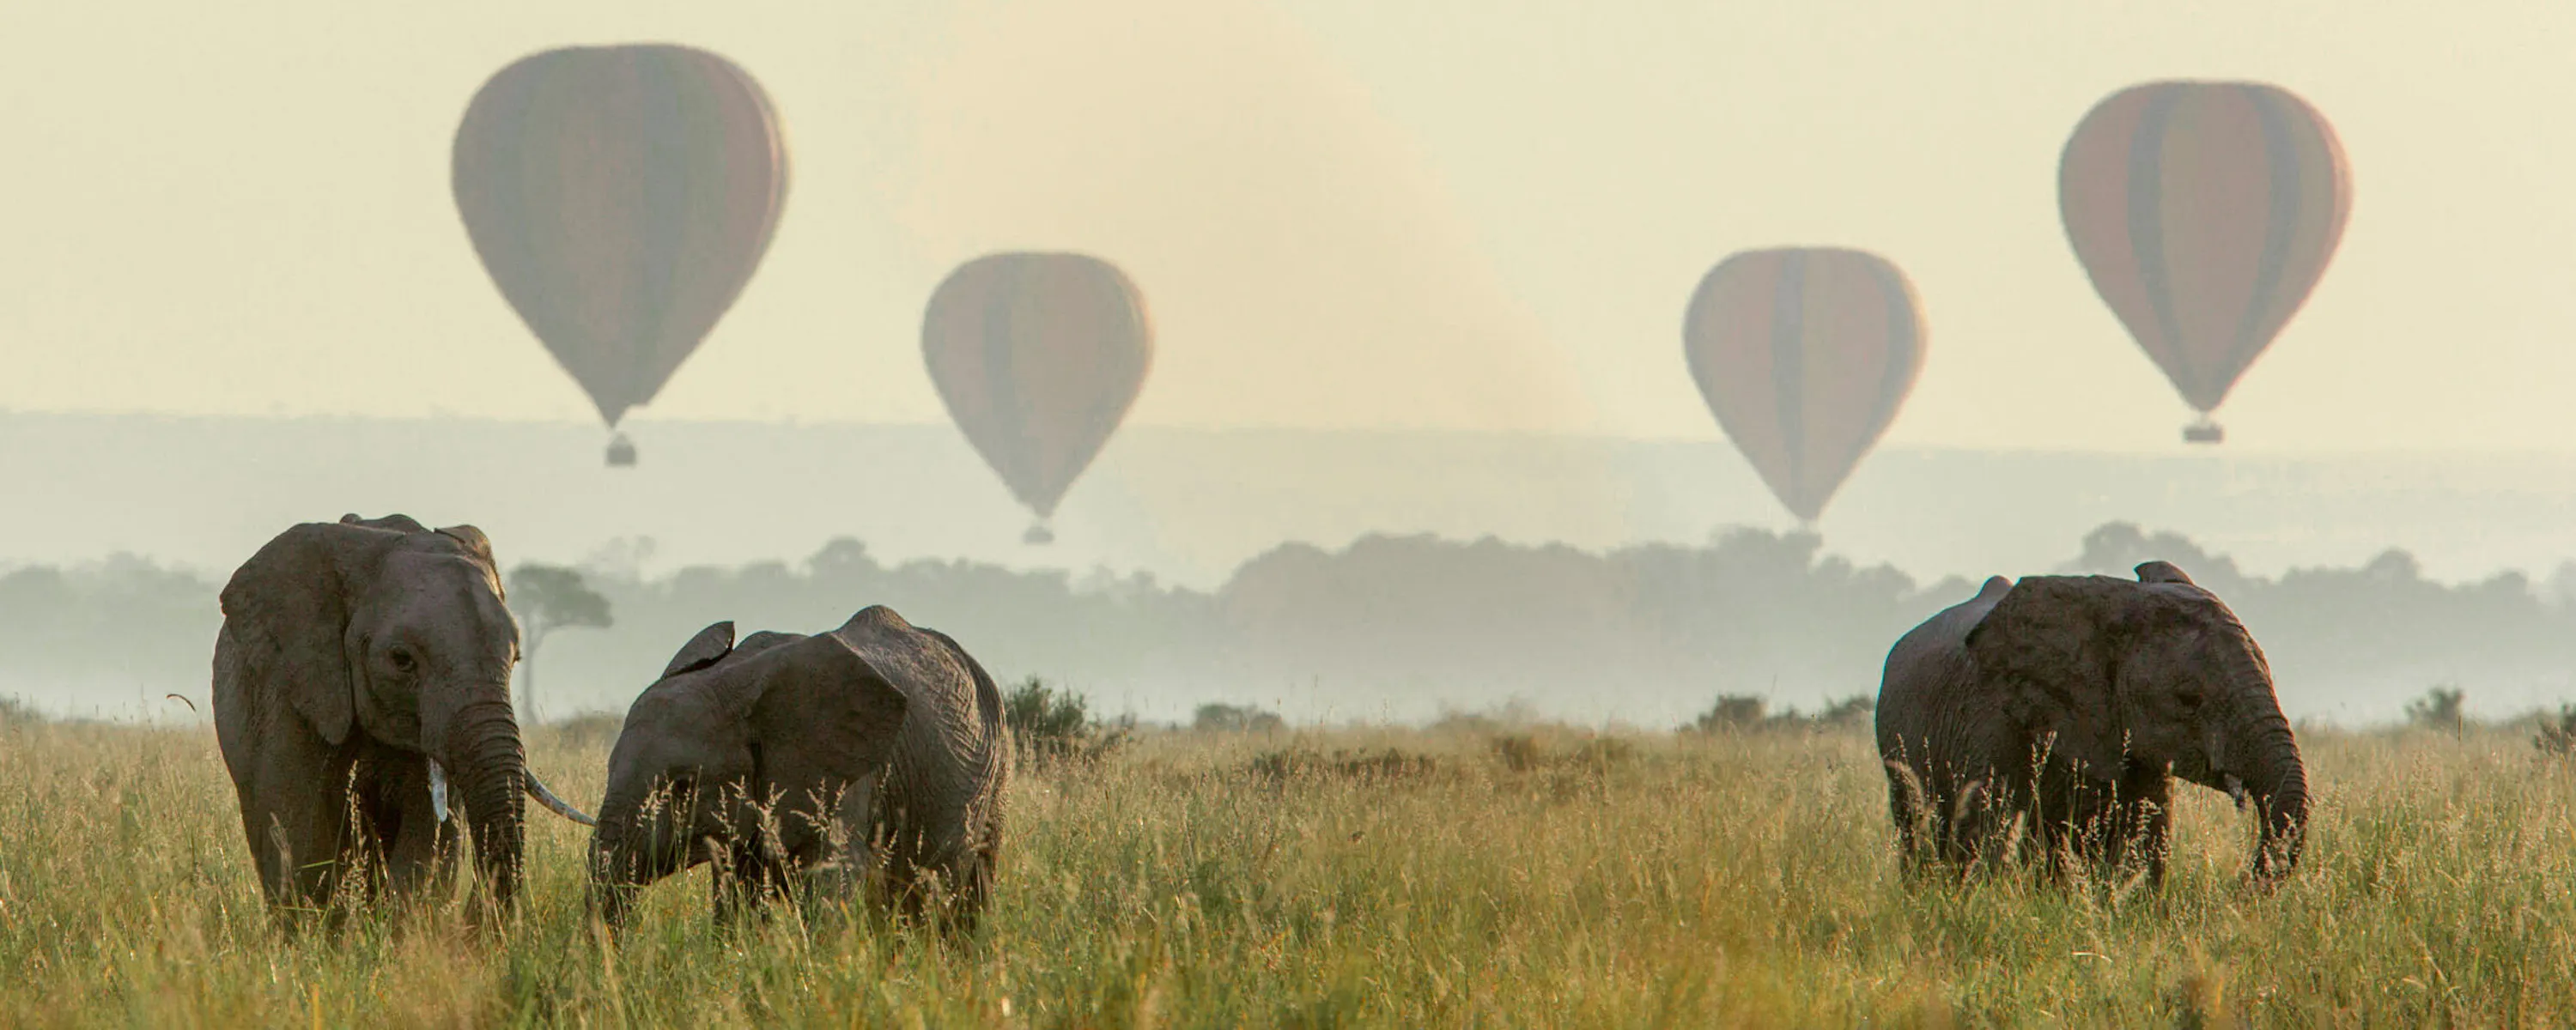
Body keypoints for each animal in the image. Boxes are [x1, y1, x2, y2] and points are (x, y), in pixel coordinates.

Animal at [589, 606, 1011, 930]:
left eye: (683, 786)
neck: (735, 680)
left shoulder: (842, 778)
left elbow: (830, 886)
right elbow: (737, 902)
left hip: (997, 772)